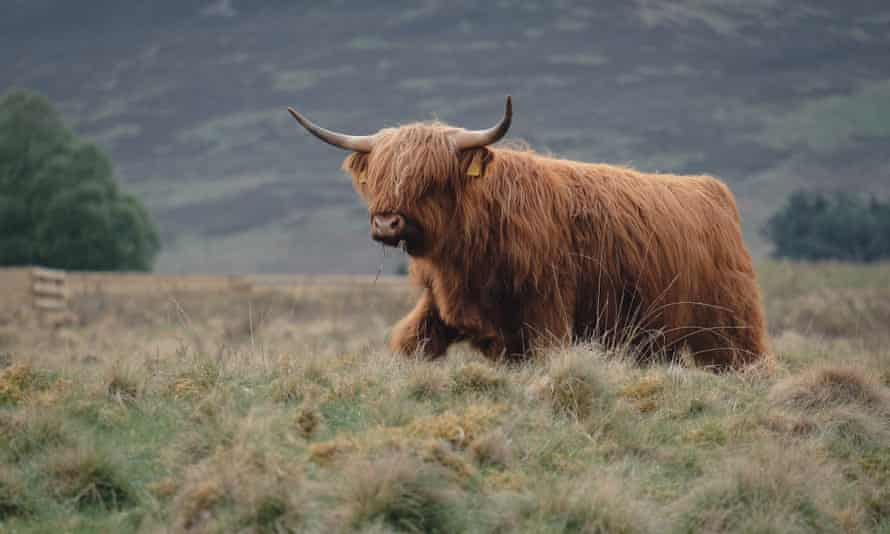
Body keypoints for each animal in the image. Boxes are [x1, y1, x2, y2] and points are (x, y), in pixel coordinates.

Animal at [286, 98, 772, 370]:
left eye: (432, 180)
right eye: (378, 177)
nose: (387, 223)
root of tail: (712, 189)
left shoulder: (547, 311)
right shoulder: (439, 304)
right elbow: (409, 345)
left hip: (729, 321)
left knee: (745, 360)